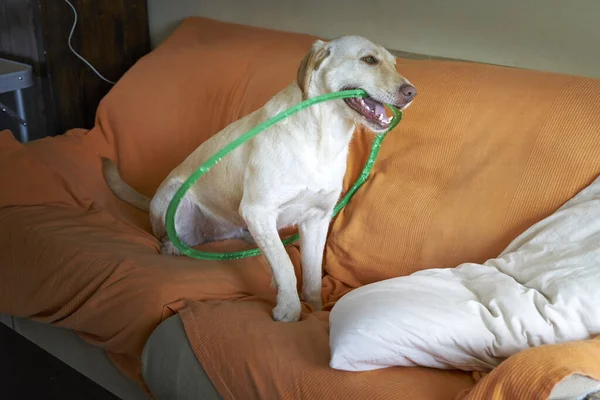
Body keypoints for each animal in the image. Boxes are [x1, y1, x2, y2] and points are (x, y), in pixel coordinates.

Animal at [101, 36, 414, 324]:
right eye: (369, 60)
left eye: (394, 63)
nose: (412, 92)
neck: (323, 139)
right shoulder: (258, 210)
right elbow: (286, 265)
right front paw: (289, 309)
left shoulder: (317, 219)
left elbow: (312, 272)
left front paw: (314, 306)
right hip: (175, 202)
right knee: (168, 236)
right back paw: (172, 246)